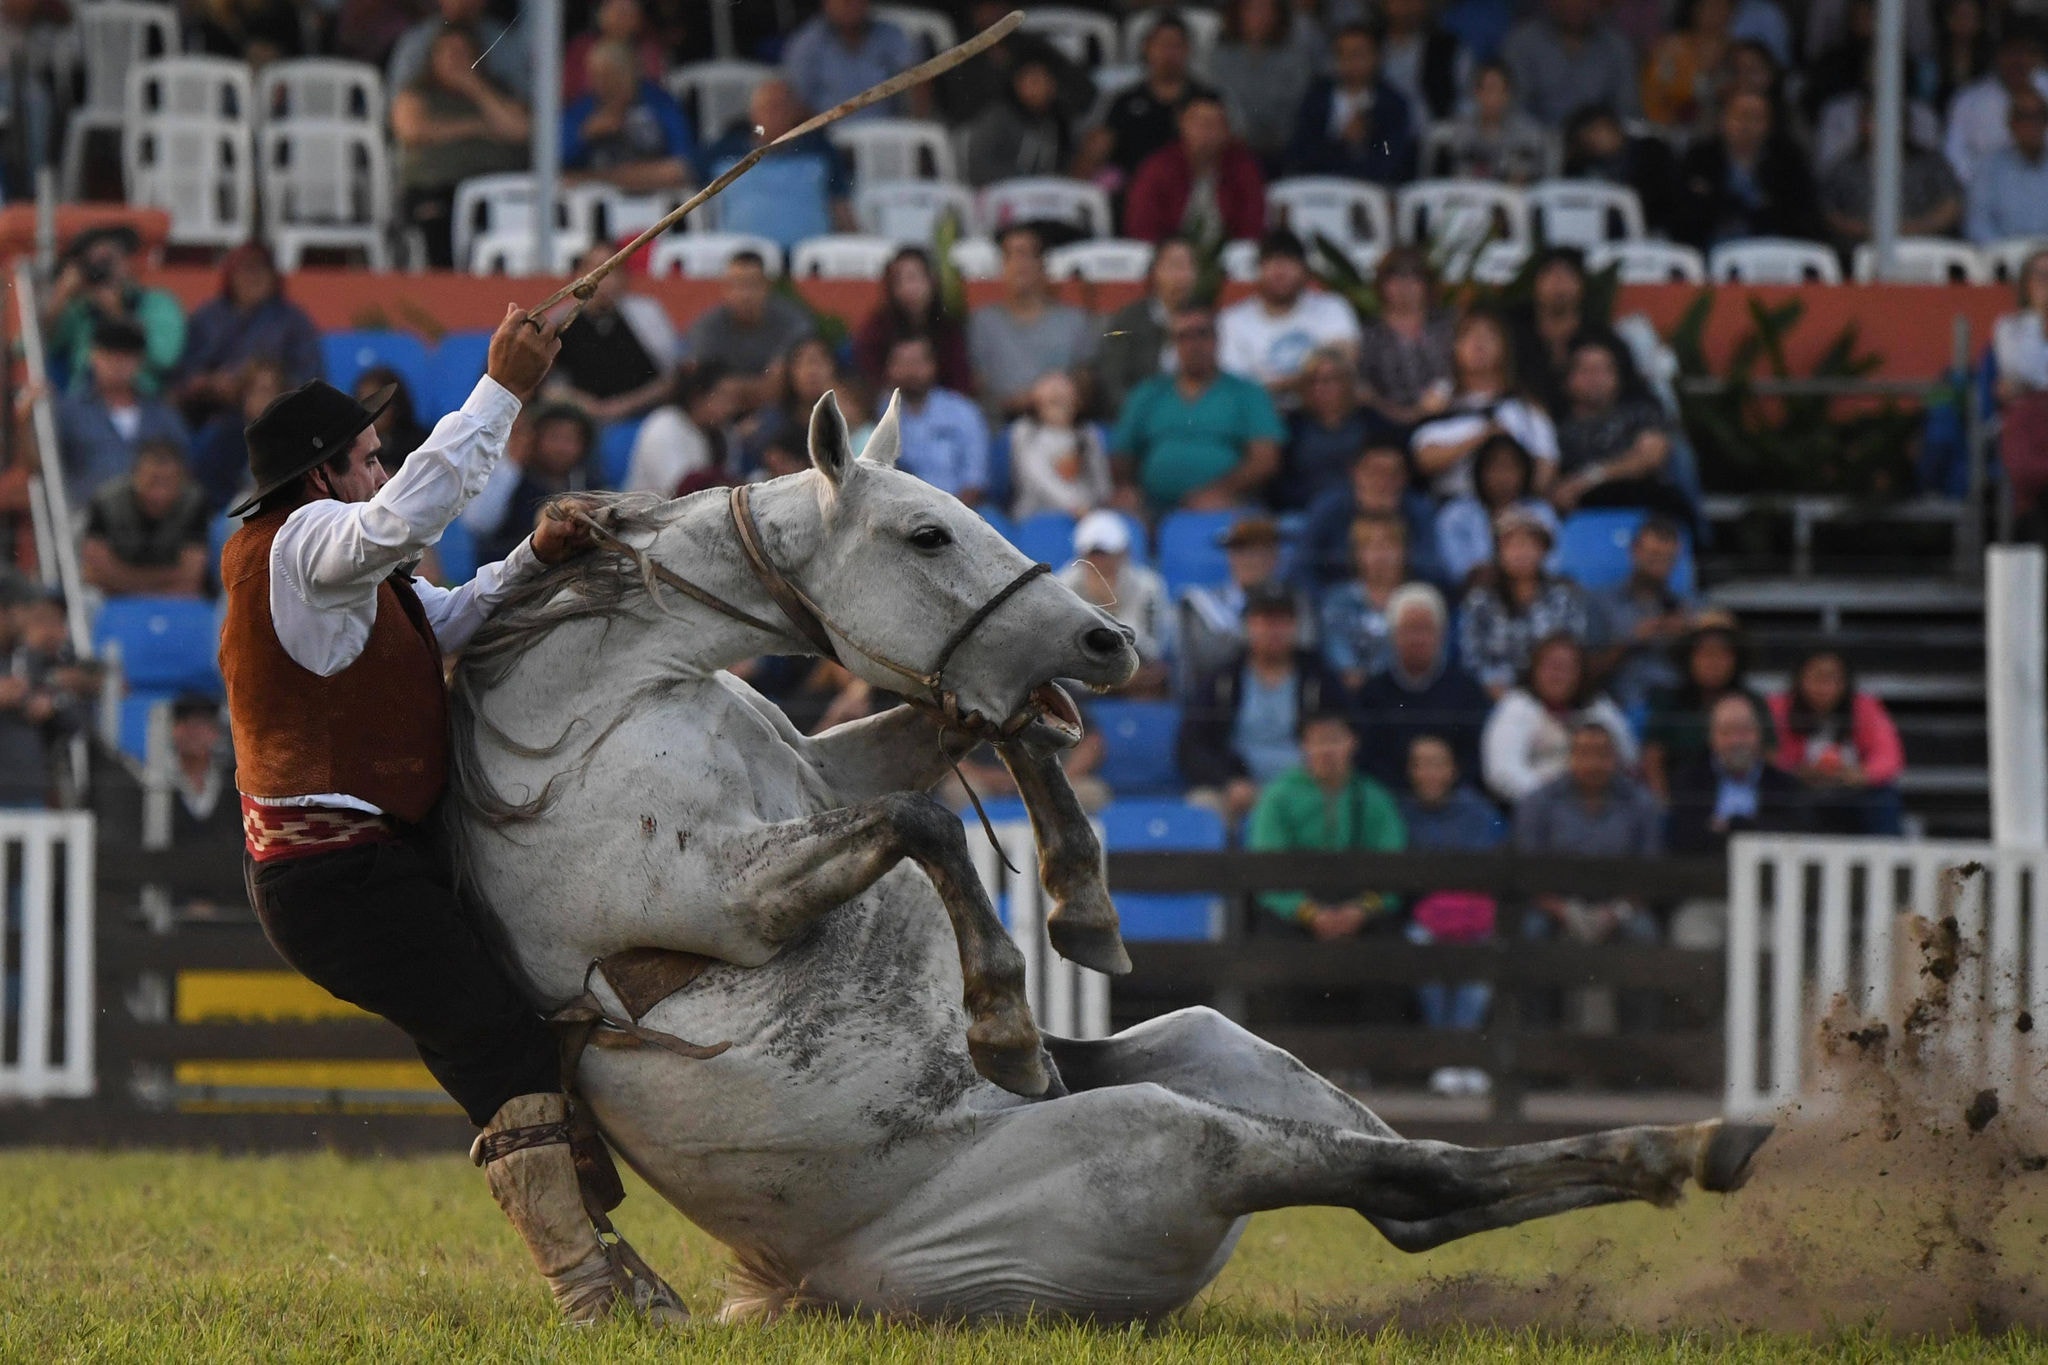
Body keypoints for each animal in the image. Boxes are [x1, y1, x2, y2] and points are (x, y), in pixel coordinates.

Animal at [444, 394, 1761, 1326]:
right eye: (927, 529)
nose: (1106, 638)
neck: (599, 702)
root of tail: (805, 1292)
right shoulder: (712, 895)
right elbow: (925, 826)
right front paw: (1003, 1024)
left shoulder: (822, 779)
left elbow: (986, 738)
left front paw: (1082, 901)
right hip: (1167, 1144)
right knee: (1407, 1188)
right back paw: (1691, 1146)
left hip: (1220, 1050)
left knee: (1393, 1179)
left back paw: (1678, 1148)